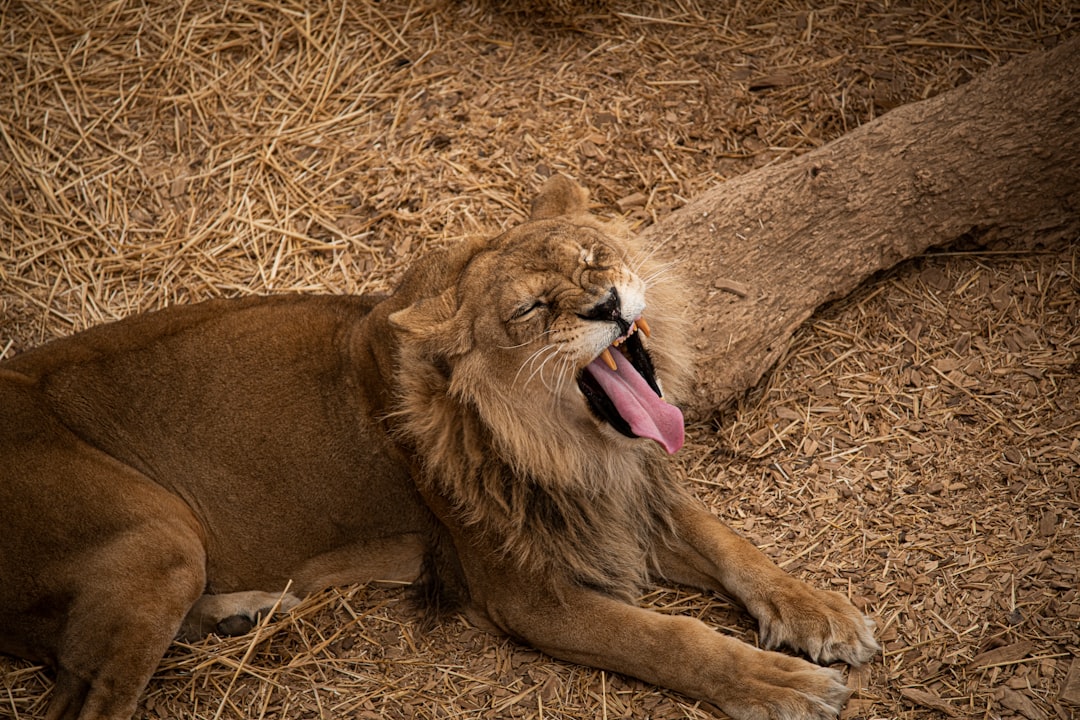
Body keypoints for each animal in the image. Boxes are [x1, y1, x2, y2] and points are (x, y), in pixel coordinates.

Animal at [0, 175, 876, 720]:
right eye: (529, 310)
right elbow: (669, 638)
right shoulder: (527, 593)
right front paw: (782, 681)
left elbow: (731, 544)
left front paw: (823, 613)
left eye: (593, 255)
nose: (606, 303)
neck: (572, 445)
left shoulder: (625, 495)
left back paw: (239, 613)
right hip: (159, 535)